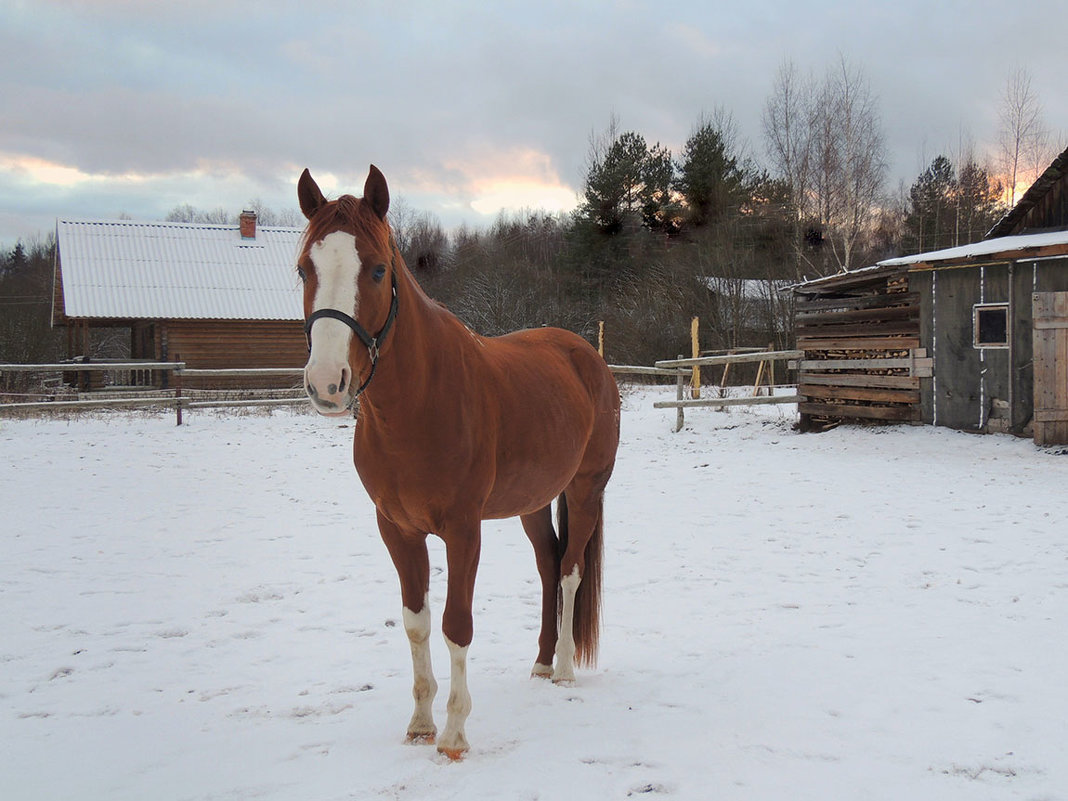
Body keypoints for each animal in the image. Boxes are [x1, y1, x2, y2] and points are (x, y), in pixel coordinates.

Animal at [296, 164, 623, 760]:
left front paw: (453, 734)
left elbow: (456, 625)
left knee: (570, 571)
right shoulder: (397, 529)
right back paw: (542, 663)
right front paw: (420, 723)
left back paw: (565, 668)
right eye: (305, 268)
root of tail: (587, 355)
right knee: (548, 565)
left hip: (586, 489)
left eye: (377, 269)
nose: (327, 384)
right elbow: (417, 624)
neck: (419, 404)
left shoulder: (464, 529)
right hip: (533, 501)